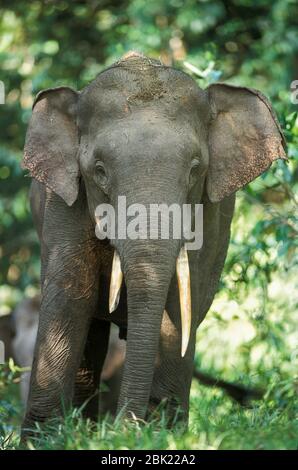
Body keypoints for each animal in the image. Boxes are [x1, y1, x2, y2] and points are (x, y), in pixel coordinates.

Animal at [19, 51, 286, 436]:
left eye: (194, 169)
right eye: (99, 170)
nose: (126, 427)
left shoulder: (207, 217)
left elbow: (179, 303)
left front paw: (161, 434)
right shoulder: (63, 205)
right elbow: (69, 297)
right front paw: (42, 439)